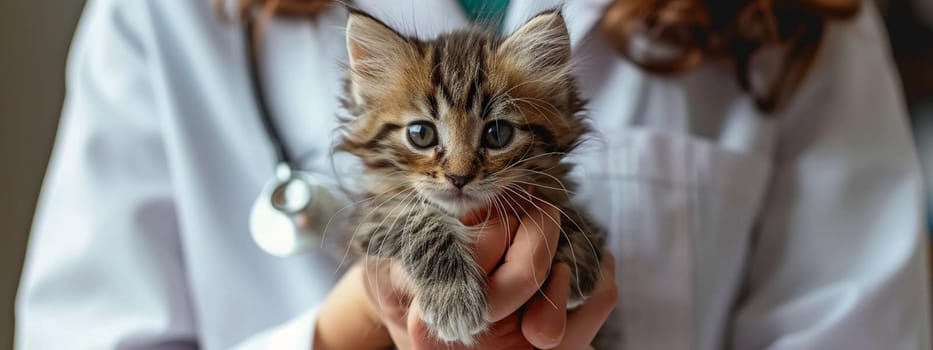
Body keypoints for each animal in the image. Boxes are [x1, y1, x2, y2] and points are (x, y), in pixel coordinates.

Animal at [334, 8, 604, 344]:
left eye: (497, 134)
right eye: (421, 134)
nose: (458, 177)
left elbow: (555, 203)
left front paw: (578, 249)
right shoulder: (370, 219)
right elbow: (416, 221)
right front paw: (454, 299)